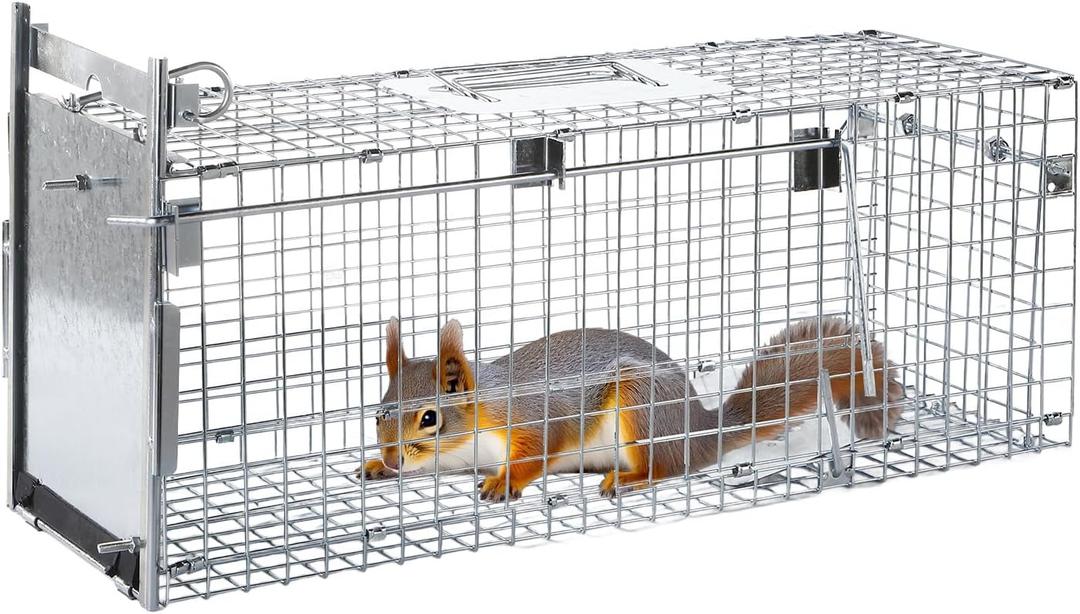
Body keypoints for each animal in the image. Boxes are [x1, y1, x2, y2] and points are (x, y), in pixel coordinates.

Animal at [358, 315, 901, 501]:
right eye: (378, 413)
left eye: (430, 417)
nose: (391, 457)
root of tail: (701, 430)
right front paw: (377, 467)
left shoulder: (535, 414)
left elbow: (541, 447)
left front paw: (504, 481)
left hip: (639, 403)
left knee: (670, 466)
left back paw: (631, 478)